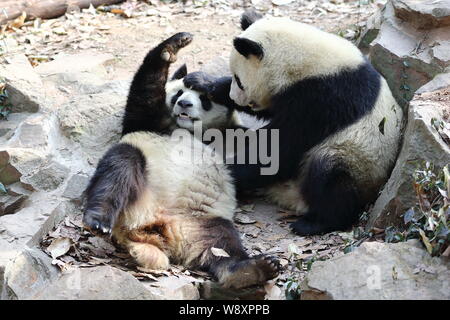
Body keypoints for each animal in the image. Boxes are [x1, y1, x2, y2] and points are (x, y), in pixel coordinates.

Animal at [82, 33, 280, 290]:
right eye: (178, 93)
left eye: (204, 99)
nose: (184, 104)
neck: (196, 131)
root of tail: (156, 226)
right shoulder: (151, 124)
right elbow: (144, 97)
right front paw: (172, 46)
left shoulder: (235, 134)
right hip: (139, 188)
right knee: (120, 167)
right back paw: (98, 219)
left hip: (201, 220)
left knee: (222, 242)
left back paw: (251, 269)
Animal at [219, 11, 404, 235]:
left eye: (239, 81)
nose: (234, 98)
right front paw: (207, 85)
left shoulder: (323, 98)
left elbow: (281, 147)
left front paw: (228, 168)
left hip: (359, 162)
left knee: (329, 172)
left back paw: (315, 222)